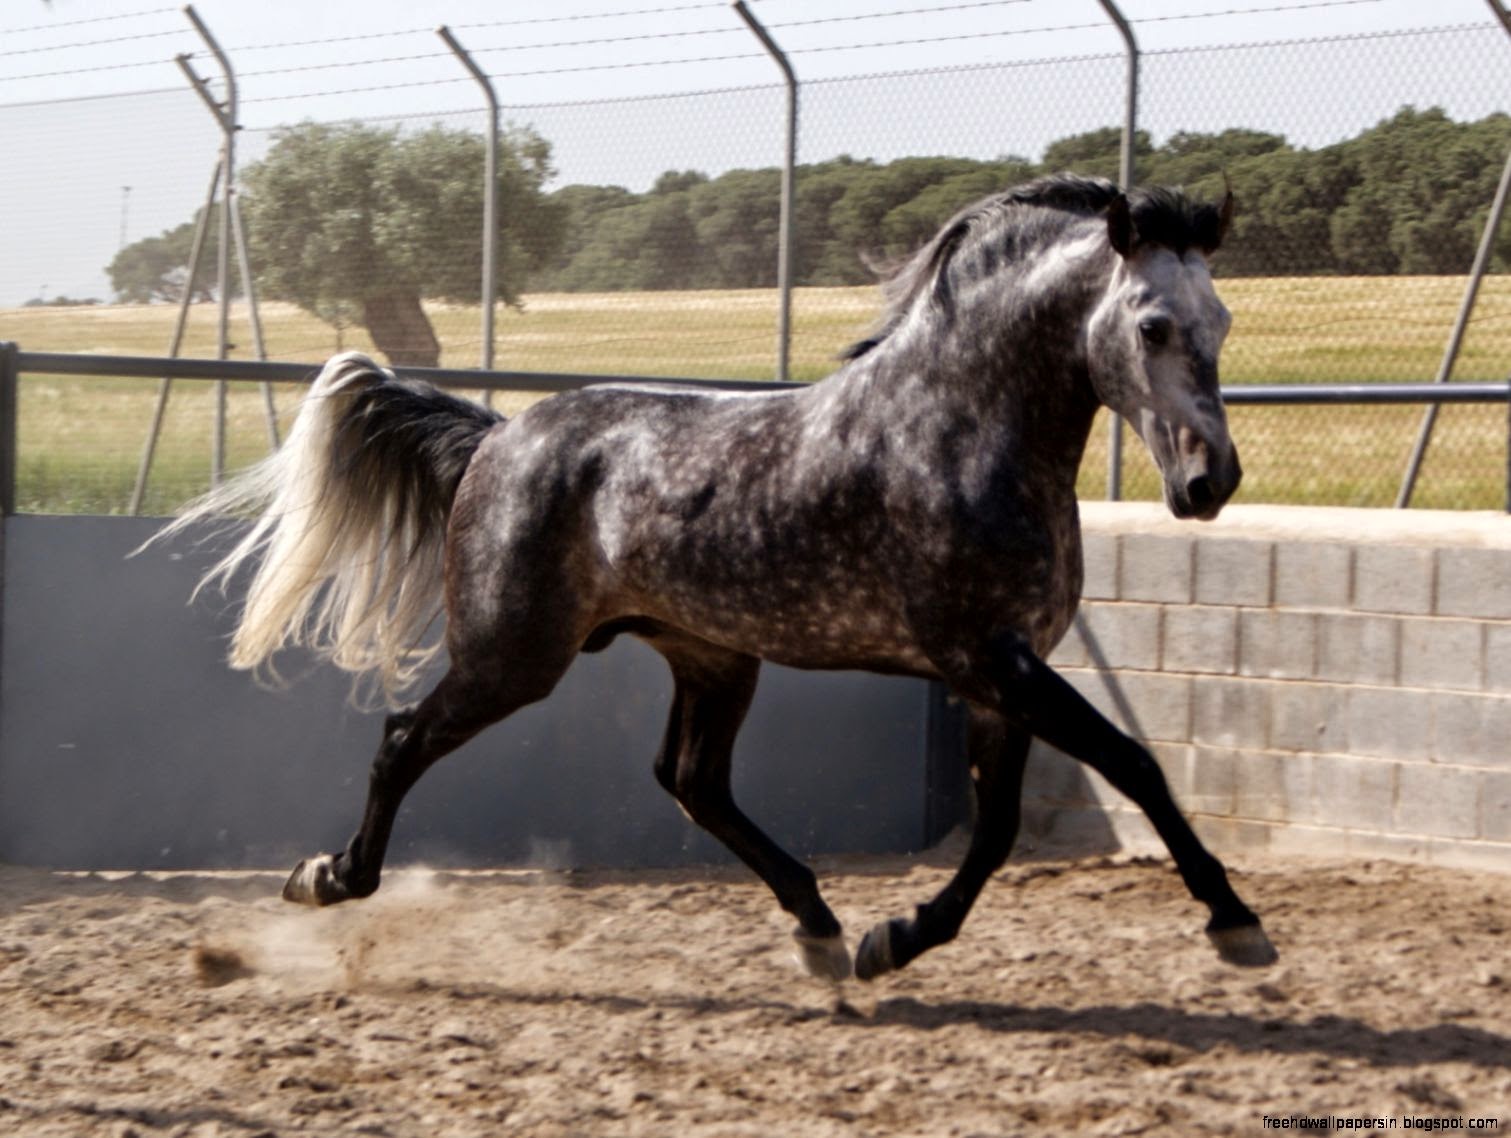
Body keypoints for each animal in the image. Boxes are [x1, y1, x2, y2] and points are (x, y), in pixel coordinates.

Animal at [154, 173, 1276, 983]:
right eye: (1150, 325)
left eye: (1221, 318)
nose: (1208, 480)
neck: (957, 431)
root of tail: (497, 437)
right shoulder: (985, 660)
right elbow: (1133, 764)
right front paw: (1236, 922)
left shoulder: (999, 674)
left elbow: (998, 829)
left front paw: (893, 939)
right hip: (514, 654)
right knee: (403, 740)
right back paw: (327, 877)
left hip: (710, 655)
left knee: (692, 780)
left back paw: (820, 926)